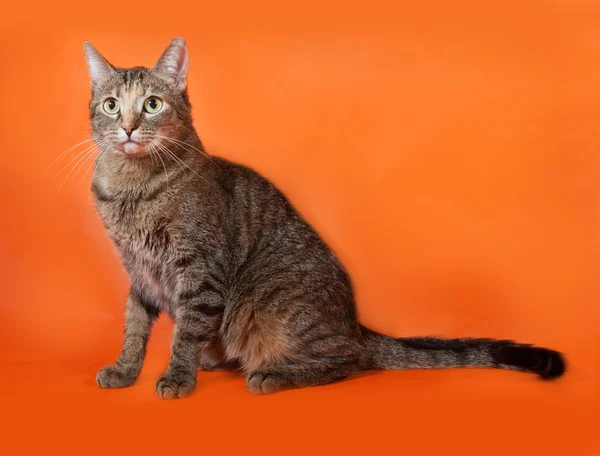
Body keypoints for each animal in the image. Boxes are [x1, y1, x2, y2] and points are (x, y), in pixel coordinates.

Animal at [85, 37, 568, 398]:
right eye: (111, 106)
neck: (132, 188)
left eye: (152, 105)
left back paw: (272, 374)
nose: (128, 127)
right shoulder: (139, 271)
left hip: (269, 303)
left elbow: (185, 333)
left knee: (350, 361)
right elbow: (134, 326)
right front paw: (125, 370)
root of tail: (355, 324)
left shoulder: (199, 270)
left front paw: (177, 377)